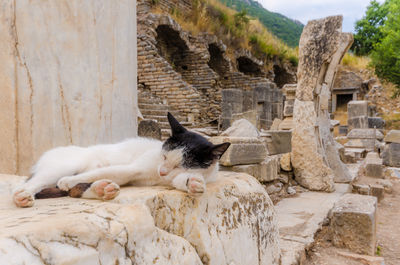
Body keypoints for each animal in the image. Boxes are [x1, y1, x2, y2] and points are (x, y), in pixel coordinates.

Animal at [12, 112, 230, 207]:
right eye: (164, 155)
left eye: (181, 165)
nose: (161, 171)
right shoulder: (132, 169)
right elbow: (106, 170)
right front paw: (68, 181)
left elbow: (182, 180)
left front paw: (192, 183)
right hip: (63, 166)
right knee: (34, 183)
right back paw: (23, 195)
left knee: (76, 190)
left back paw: (103, 189)